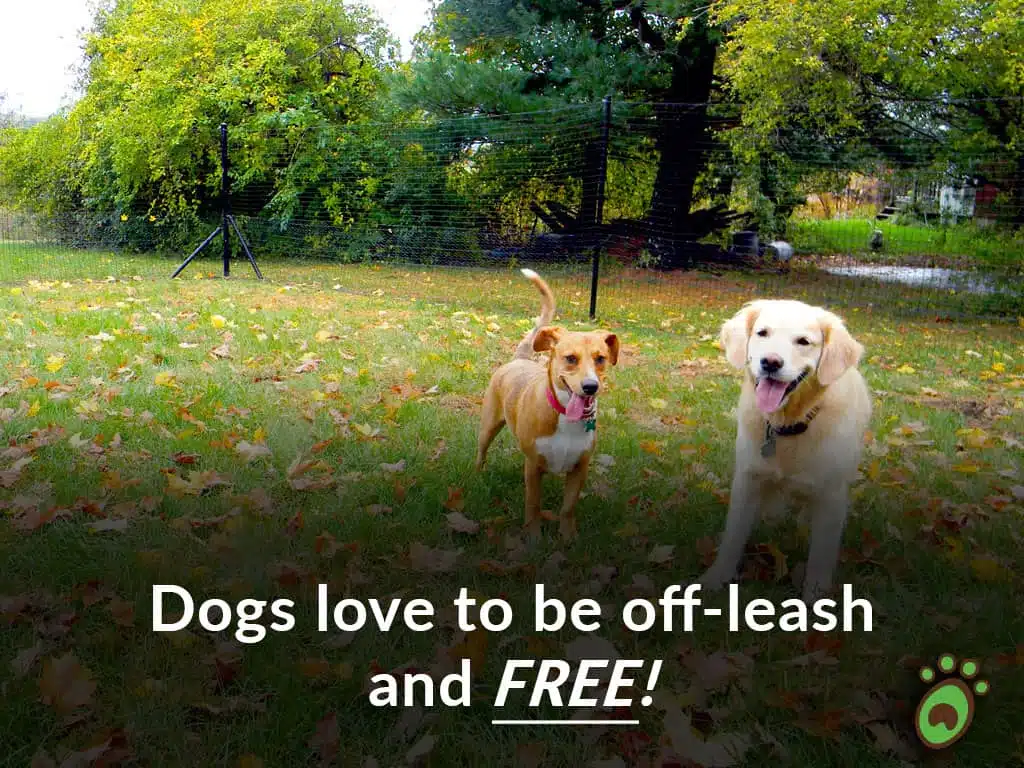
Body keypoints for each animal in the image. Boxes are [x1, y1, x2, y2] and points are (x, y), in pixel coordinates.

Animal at [477, 270, 618, 540]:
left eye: (601, 359)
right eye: (570, 358)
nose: (590, 386)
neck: (564, 419)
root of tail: (519, 359)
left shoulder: (579, 468)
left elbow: (568, 507)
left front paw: (568, 537)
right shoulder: (533, 467)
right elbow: (533, 504)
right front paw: (533, 536)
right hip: (488, 425)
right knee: (482, 451)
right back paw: (477, 474)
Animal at [696, 296, 872, 606]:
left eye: (803, 341)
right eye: (762, 333)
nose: (770, 362)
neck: (787, 426)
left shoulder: (831, 496)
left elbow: (820, 556)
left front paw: (816, 599)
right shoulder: (748, 479)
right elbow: (733, 536)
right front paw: (716, 578)